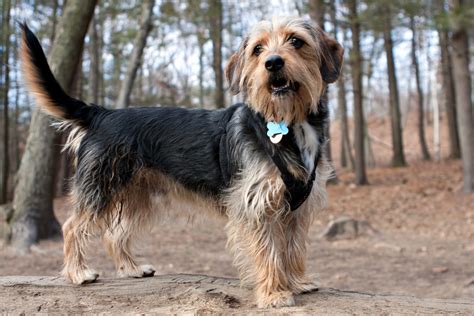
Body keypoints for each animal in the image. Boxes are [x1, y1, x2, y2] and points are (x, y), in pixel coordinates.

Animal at [20, 16, 342, 306]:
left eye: (296, 41)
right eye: (258, 49)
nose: (273, 63)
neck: (288, 122)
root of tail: (103, 113)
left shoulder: (298, 207)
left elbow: (293, 247)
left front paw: (297, 282)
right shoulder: (255, 206)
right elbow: (269, 252)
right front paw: (274, 293)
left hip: (139, 196)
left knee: (114, 234)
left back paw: (131, 268)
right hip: (102, 187)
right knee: (72, 226)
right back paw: (78, 273)